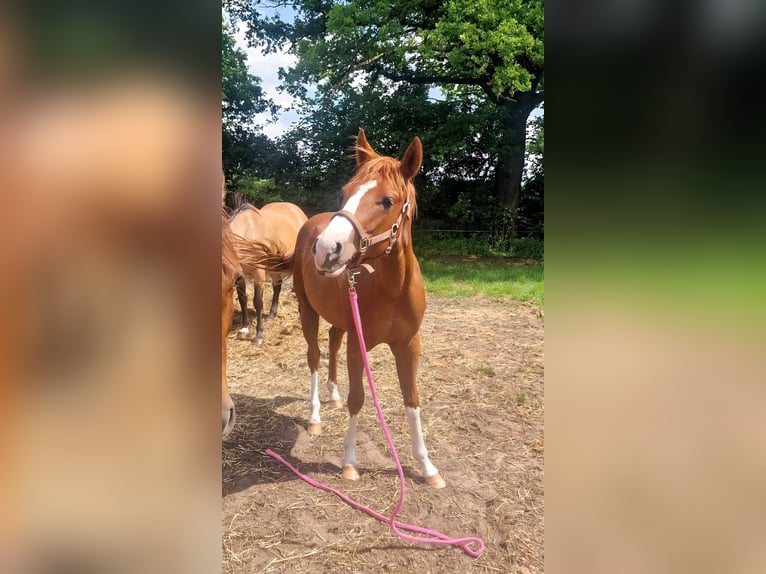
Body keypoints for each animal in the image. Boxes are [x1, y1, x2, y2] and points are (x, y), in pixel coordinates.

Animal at [230, 202, 308, 346]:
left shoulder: (258, 275)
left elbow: (257, 302)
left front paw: (259, 336)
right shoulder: (240, 276)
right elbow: (243, 299)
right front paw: (244, 329)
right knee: (277, 286)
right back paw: (272, 315)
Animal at [292, 129, 448, 490]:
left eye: (387, 201)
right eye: (344, 192)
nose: (326, 249)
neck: (392, 289)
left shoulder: (409, 345)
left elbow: (412, 400)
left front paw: (427, 467)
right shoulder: (358, 345)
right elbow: (358, 398)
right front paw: (350, 463)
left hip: (339, 320)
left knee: (332, 342)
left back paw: (332, 396)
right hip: (308, 311)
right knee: (314, 356)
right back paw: (315, 416)